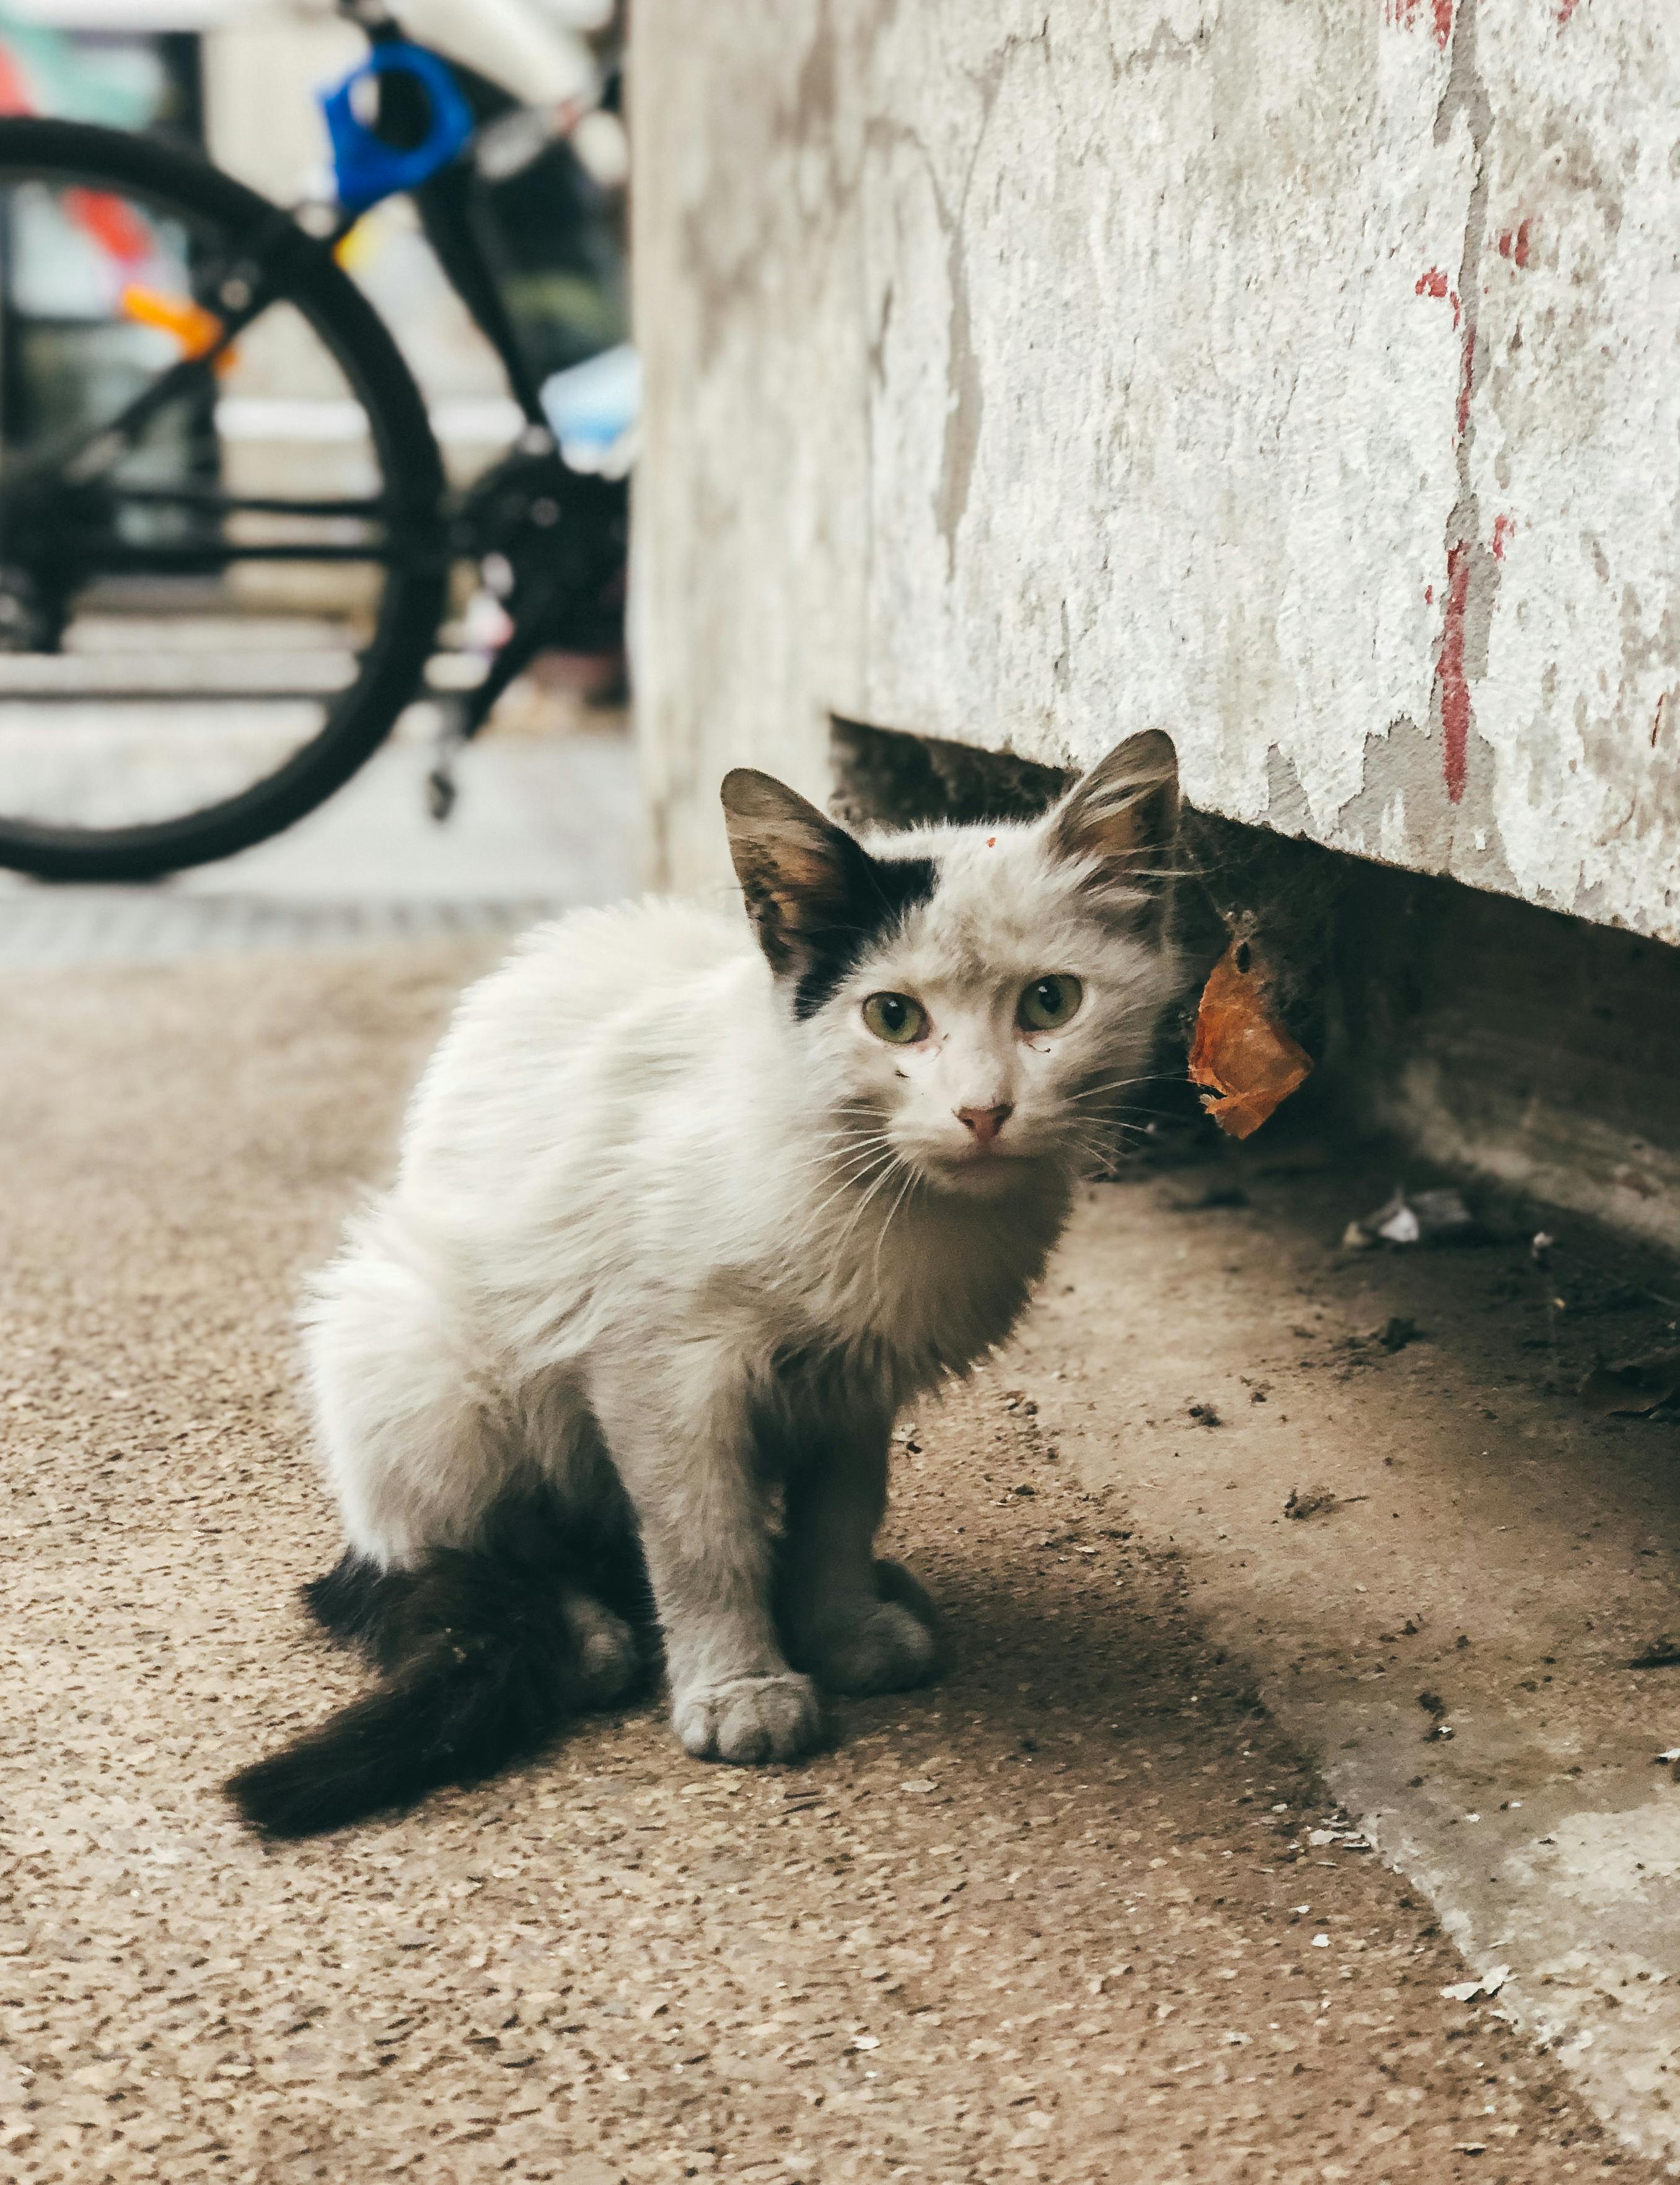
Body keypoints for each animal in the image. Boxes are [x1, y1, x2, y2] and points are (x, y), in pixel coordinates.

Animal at [226, 729, 1179, 1826]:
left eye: (1049, 1001)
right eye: (893, 1018)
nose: (983, 1111)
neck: (884, 1194)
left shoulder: (854, 1378)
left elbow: (841, 1511)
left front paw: (840, 1625)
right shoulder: (656, 1365)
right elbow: (699, 1537)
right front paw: (739, 1686)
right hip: (411, 1341)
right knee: (465, 1549)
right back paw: (588, 1634)